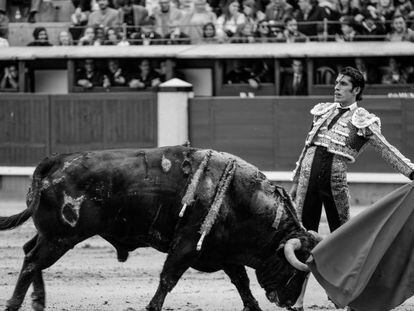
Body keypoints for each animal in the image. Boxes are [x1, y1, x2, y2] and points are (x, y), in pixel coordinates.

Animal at [0, 147, 320, 311]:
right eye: (294, 269)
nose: (290, 303)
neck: (238, 199)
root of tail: (57, 160)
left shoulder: (223, 251)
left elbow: (241, 283)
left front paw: (253, 307)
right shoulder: (187, 245)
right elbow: (168, 279)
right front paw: (152, 307)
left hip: (51, 234)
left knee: (29, 251)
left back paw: (38, 301)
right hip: (61, 237)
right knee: (32, 261)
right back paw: (15, 304)